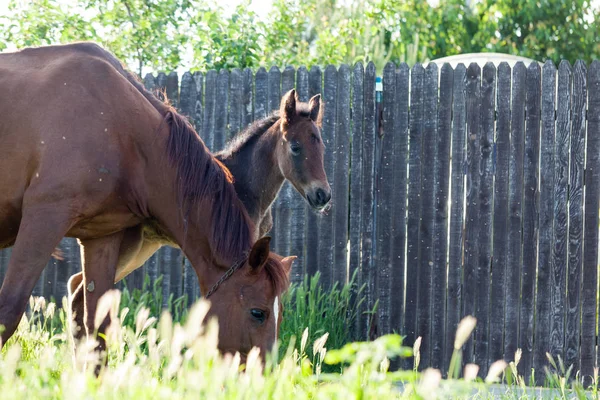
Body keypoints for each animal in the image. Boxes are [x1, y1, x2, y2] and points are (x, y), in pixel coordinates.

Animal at [0, 42, 292, 360]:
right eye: (258, 312)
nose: (264, 369)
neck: (120, 128)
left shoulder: (102, 237)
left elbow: (97, 329)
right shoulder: (44, 218)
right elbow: (9, 311)